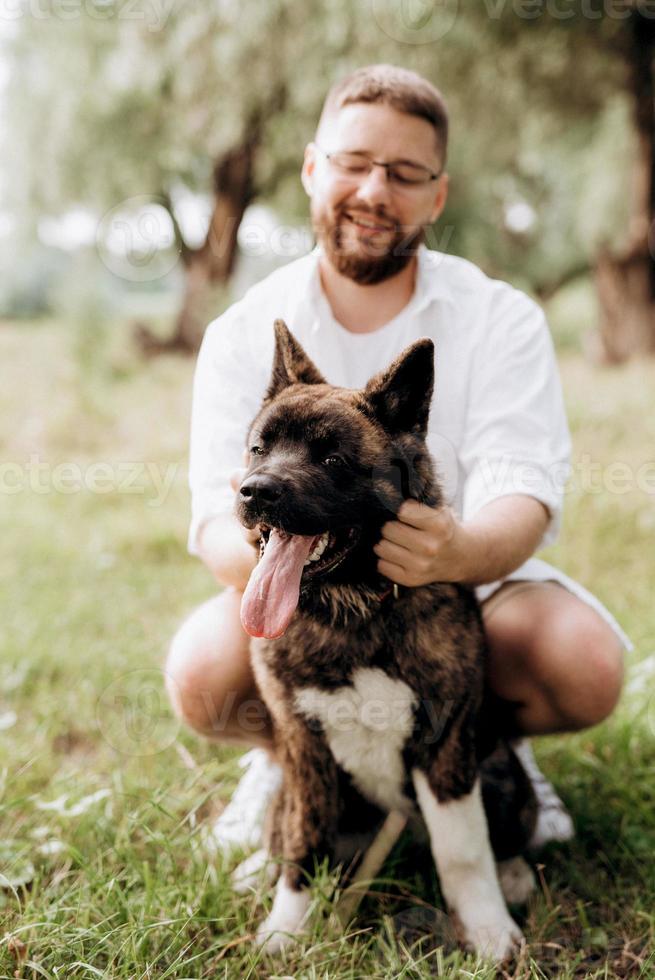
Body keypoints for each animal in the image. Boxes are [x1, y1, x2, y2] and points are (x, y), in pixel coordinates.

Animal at [236, 320, 540, 956]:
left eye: (331, 457)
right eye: (259, 448)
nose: (255, 491)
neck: (354, 611)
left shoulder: (445, 749)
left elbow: (464, 849)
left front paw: (487, 928)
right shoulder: (305, 751)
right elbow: (304, 844)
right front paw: (287, 928)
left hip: (503, 776)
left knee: (502, 838)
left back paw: (515, 876)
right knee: (282, 833)